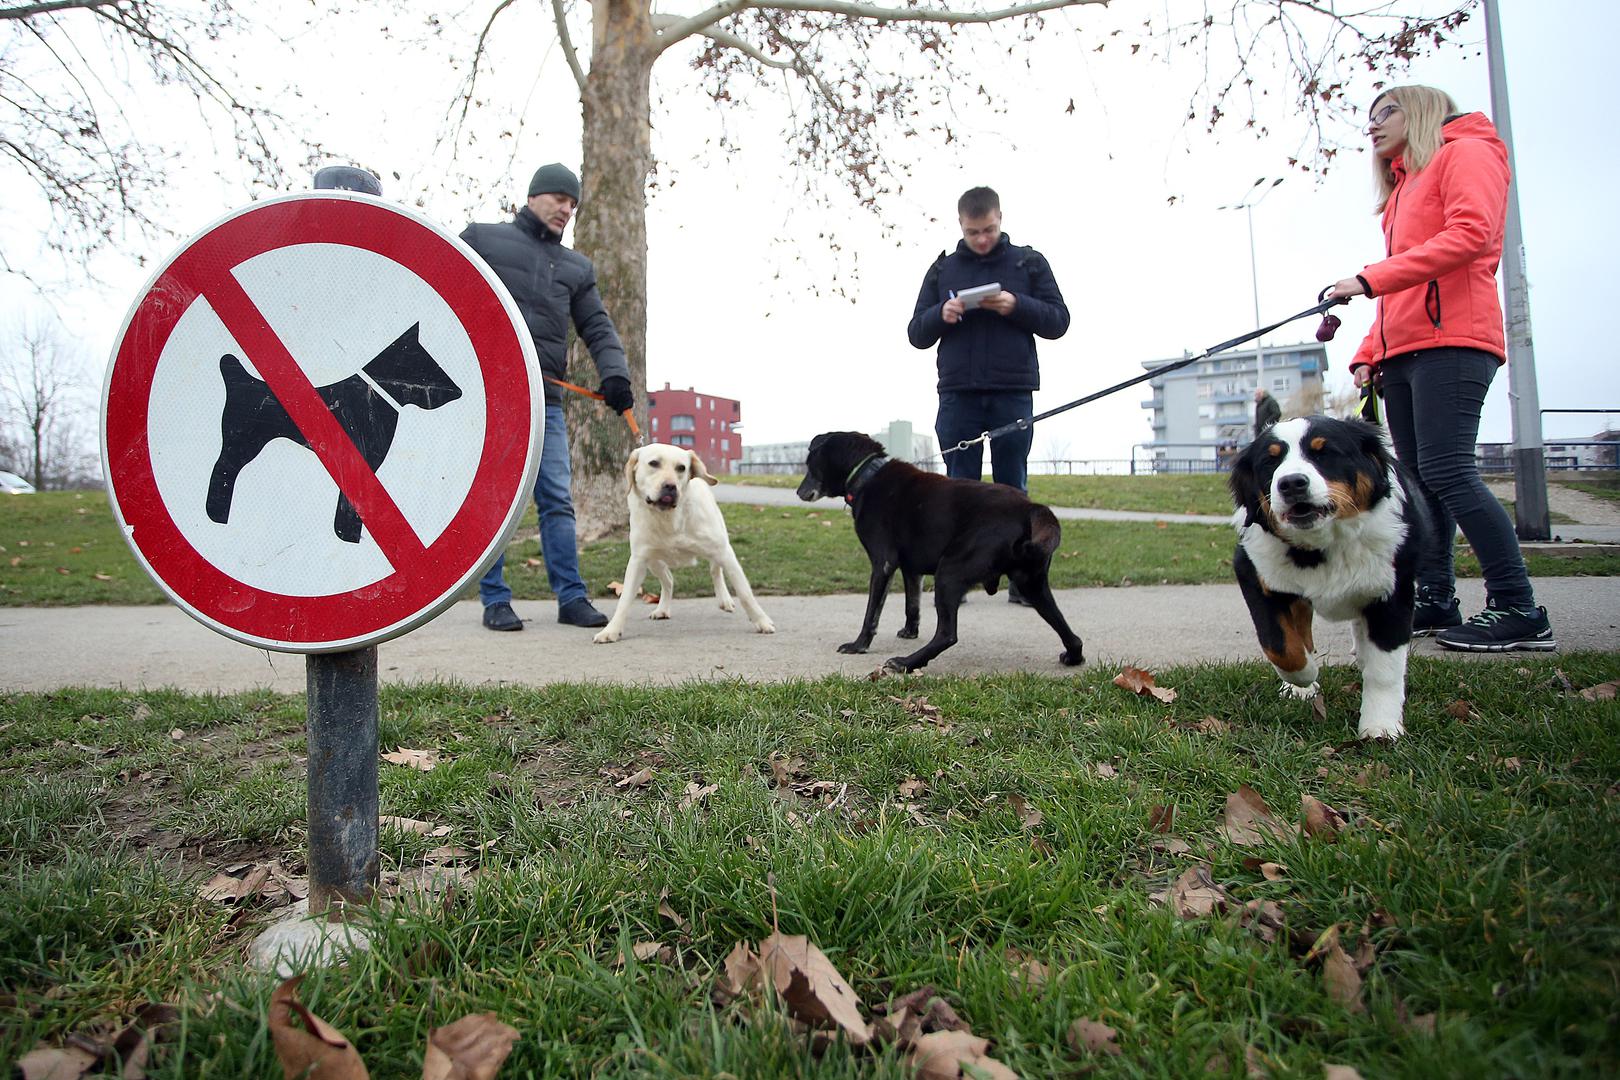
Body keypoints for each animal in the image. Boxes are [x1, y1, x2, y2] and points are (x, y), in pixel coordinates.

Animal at [1224, 417, 1432, 738]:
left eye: (1324, 453)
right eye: (1271, 461)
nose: (1291, 483)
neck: (1324, 546)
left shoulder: (1393, 592)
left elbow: (1385, 669)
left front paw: (1381, 726)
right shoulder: (1254, 572)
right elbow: (1281, 645)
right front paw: (1304, 678)